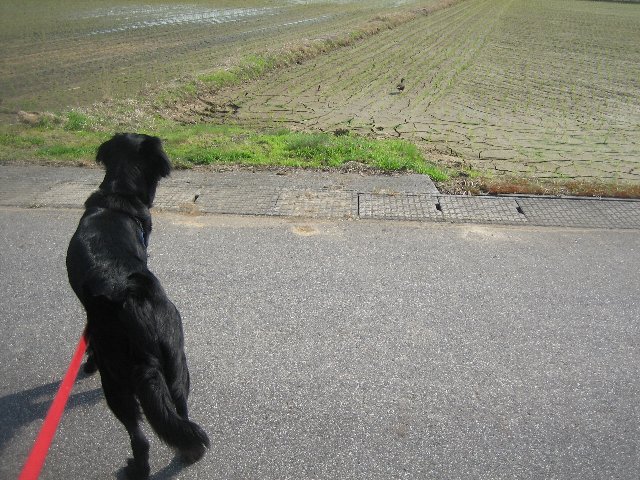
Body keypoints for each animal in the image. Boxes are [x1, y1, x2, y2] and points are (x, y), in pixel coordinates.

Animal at [66, 133, 209, 479]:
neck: (119, 194)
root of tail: (135, 302)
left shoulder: (93, 323)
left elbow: (87, 340)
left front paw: (86, 363)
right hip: (175, 359)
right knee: (180, 415)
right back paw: (190, 453)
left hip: (116, 380)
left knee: (139, 437)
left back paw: (137, 468)